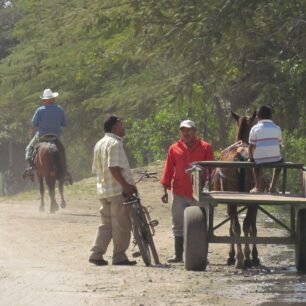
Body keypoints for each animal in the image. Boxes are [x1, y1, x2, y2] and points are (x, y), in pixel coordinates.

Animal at [214, 111, 260, 268]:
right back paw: (245, 257)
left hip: (233, 200)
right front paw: (254, 255)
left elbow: (232, 228)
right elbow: (252, 228)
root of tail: (241, 154)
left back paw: (240, 257)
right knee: (245, 225)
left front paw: (231, 255)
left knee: (238, 226)